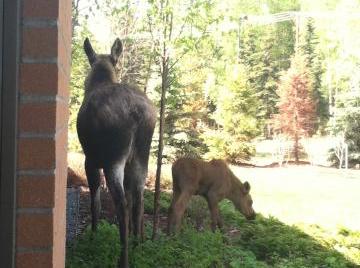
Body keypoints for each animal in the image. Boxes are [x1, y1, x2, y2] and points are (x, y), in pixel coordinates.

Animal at [76, 38, 155, 268]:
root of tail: (139, 113)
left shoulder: (90, 160)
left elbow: (95, 201)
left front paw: (93, 236)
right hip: (140, 157)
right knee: (138, 198)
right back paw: (138, 244)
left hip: (113, 159)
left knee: (122, 204)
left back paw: (123, 258)